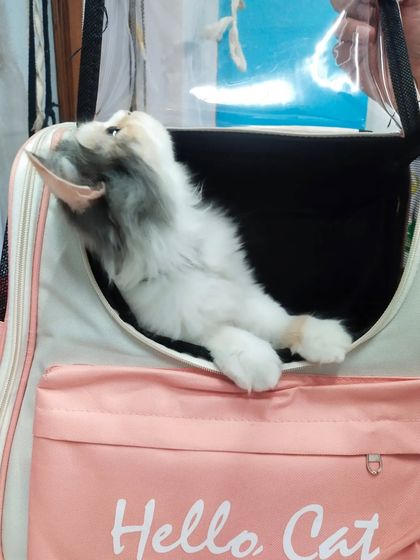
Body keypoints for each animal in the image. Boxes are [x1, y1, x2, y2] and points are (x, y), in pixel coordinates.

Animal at [29, 110, 352, 391]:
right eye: (114, 131)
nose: (130, 110)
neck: (183, 246)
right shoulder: (176, 320)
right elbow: (220, 332)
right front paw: (257, 360)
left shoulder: (240, 289)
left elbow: (279, 320)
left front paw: (325, 338)